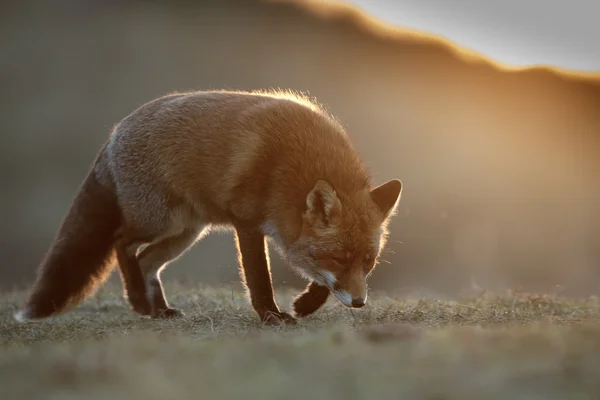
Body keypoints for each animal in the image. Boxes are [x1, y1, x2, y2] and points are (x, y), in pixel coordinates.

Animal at [14, 90, 404, 324]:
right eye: (338, 257)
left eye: (368, 262)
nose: (360, 303)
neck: (297, 165)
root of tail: (114, 133)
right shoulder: (248, 223)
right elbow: (260, 278)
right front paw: (271, 316)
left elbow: (321, 278)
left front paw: (305, 304)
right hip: (160, 221)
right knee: (121, 242)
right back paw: (139, 301)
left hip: (185, 233)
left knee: (146, 261)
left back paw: (158, 309)